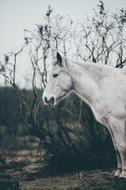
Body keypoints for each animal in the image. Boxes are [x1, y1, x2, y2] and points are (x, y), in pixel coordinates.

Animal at [42, 52, 126, 180]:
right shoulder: (110, 125)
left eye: (55, 75)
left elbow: (122, 146)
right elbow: (116, 147)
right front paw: (117, 172)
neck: (104, 86)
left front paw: (124, 173)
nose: (46, 98)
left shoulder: (118, 122)